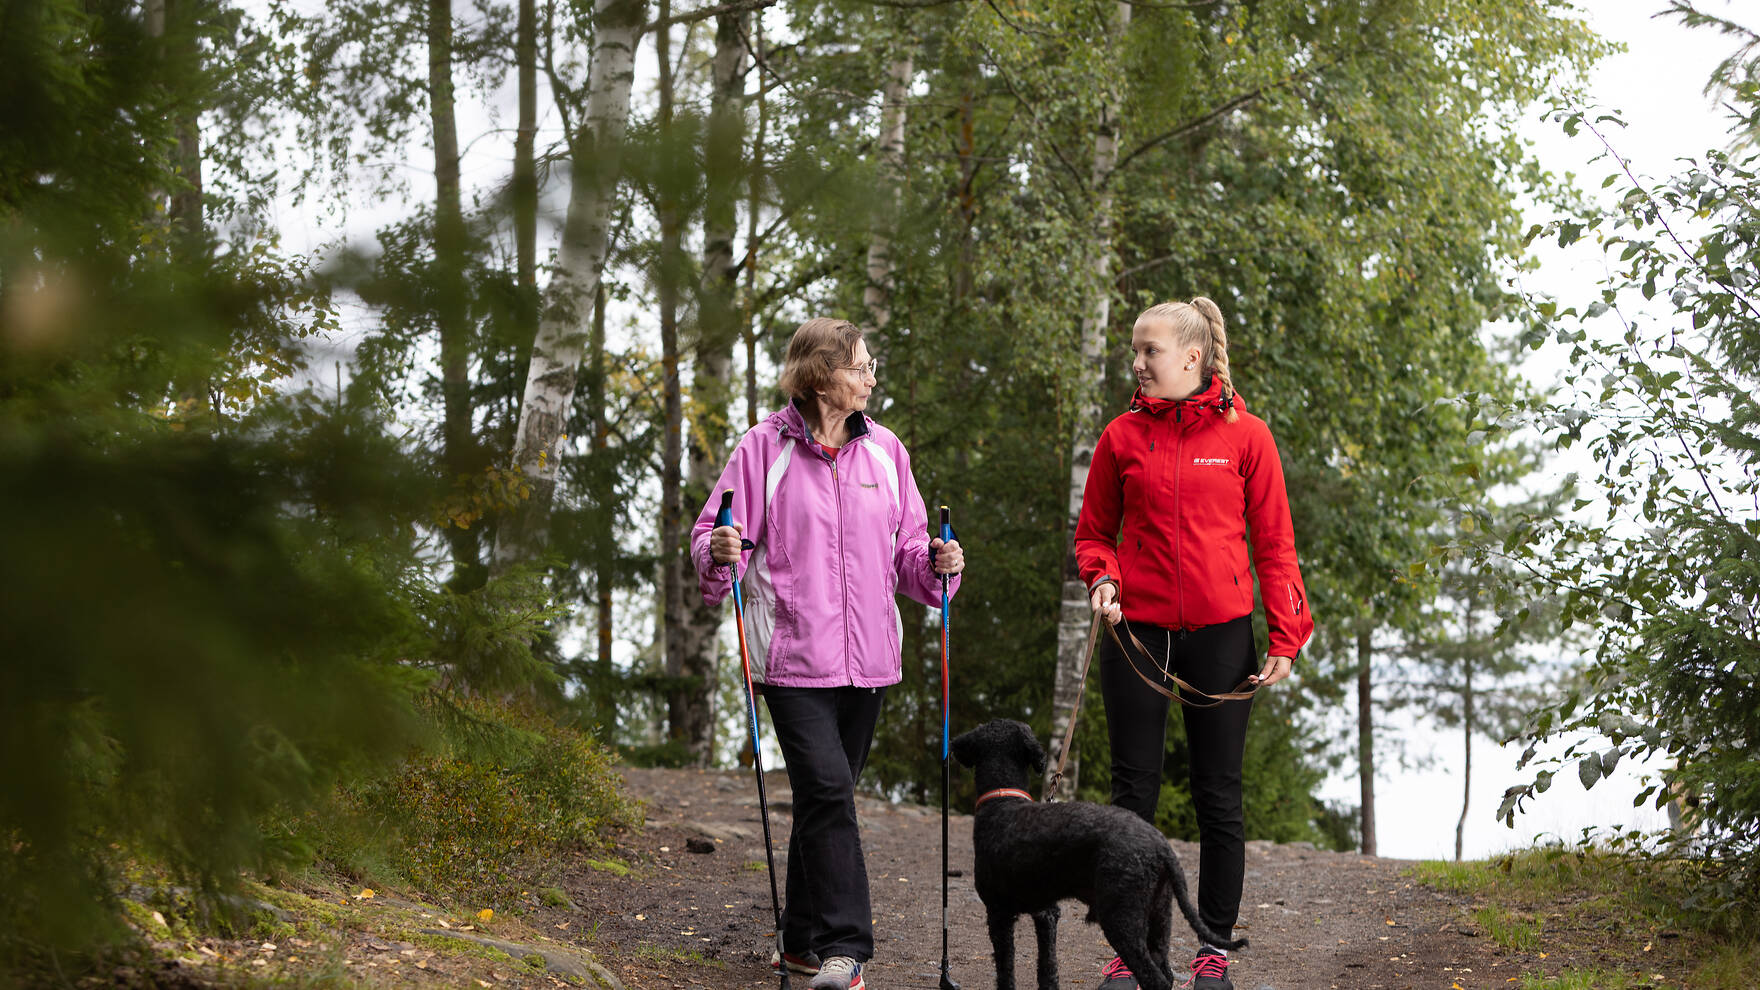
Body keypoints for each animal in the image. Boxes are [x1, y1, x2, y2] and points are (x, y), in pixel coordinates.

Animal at [950, 715, 1253, 986]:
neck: (1003, 803)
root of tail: (1160, 846)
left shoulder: (998, 914)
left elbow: (1006, 972)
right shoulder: (1046, 914)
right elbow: (1047, 970)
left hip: (1122, 919)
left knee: (1154, 978)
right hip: (1159, 918)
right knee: (1165, 973)